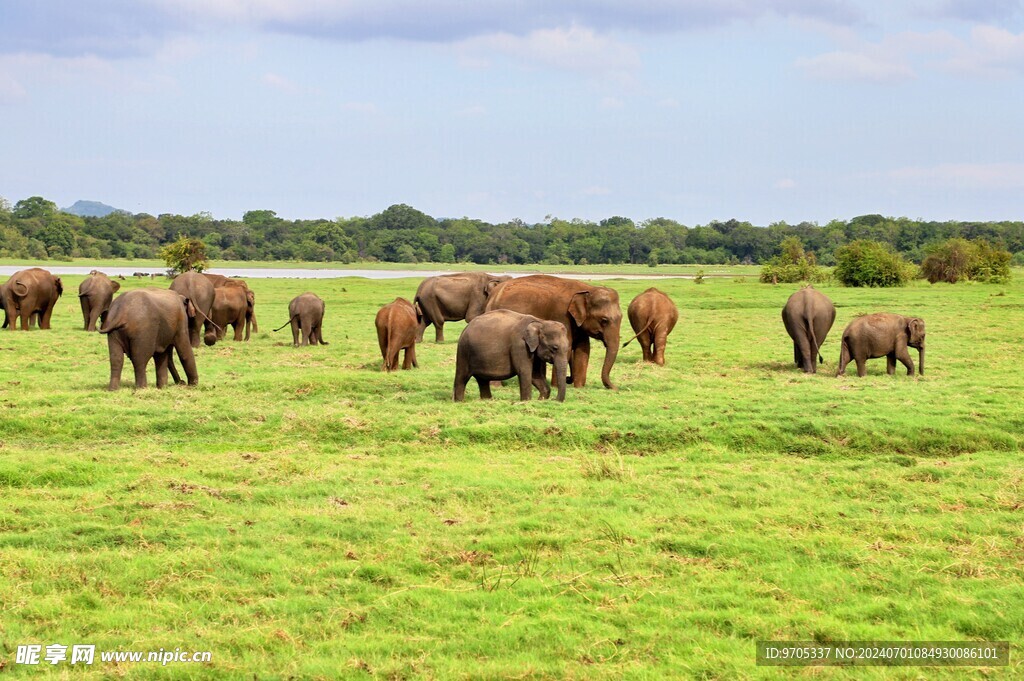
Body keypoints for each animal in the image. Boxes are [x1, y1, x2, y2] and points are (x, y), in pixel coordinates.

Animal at [483, 272, 618, 387]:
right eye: (604, 320)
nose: (614, 388)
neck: (588, 288)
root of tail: (493, 294)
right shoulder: (561, 314)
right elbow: (567, 345)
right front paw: (556, 386)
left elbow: (584, 348)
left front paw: (579, 387)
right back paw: (496, 386)